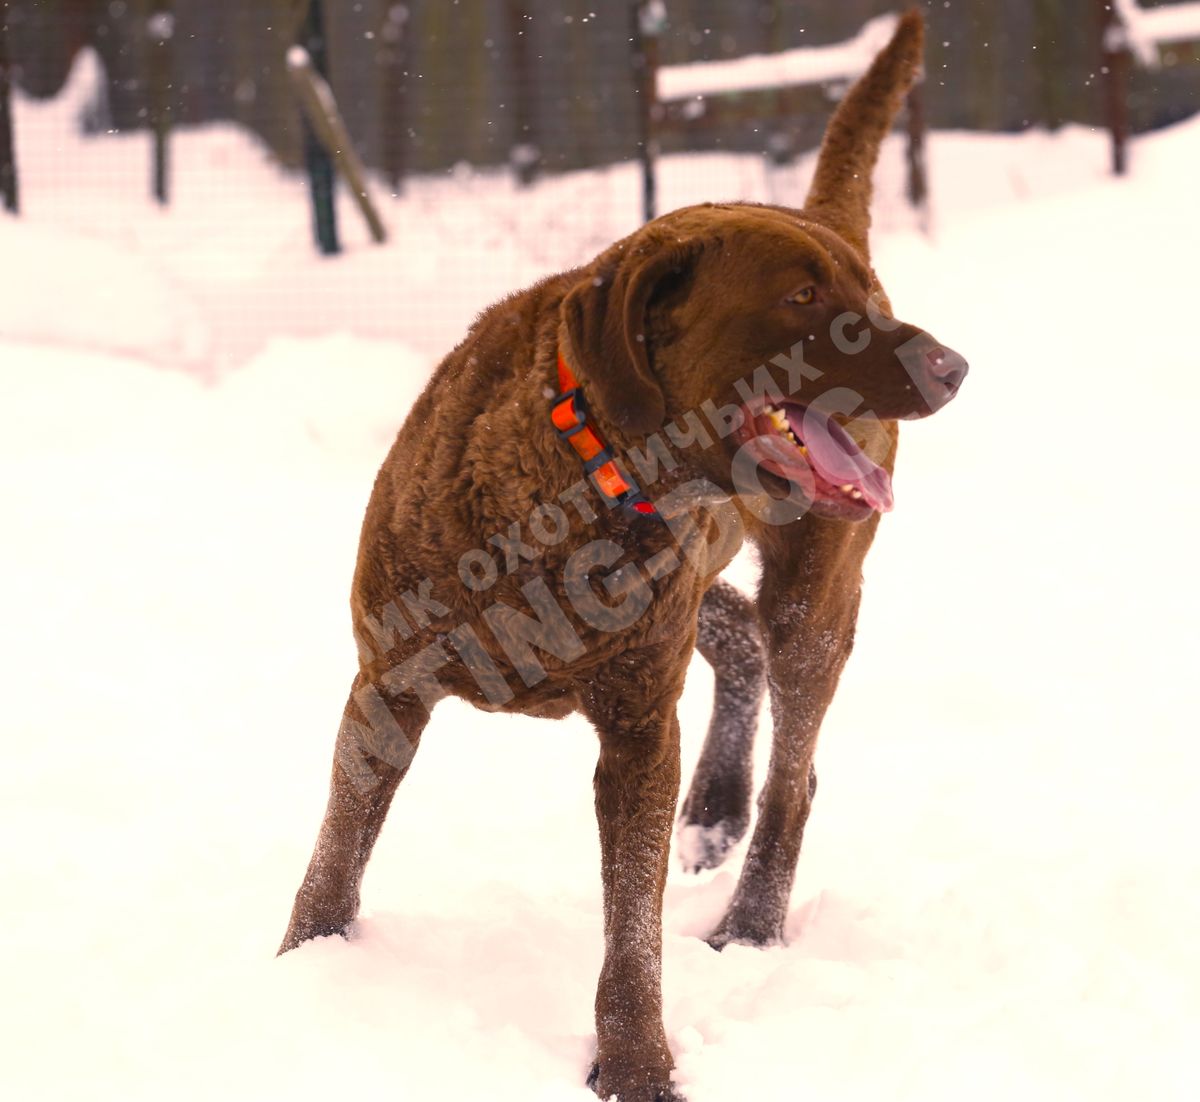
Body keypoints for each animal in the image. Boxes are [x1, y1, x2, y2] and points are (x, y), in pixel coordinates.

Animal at [279, 11, 965, 1101]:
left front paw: (637, 1063)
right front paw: (301, 967)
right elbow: (337, 852)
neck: (578, 472)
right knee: (736, 634)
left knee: (793, 763)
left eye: (868, 295)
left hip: (813, 590)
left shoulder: (641, 727)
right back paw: (715, 812)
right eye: (803, 294)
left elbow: (632, 931)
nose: (954, 366)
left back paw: (749, 919)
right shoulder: (388, 682)